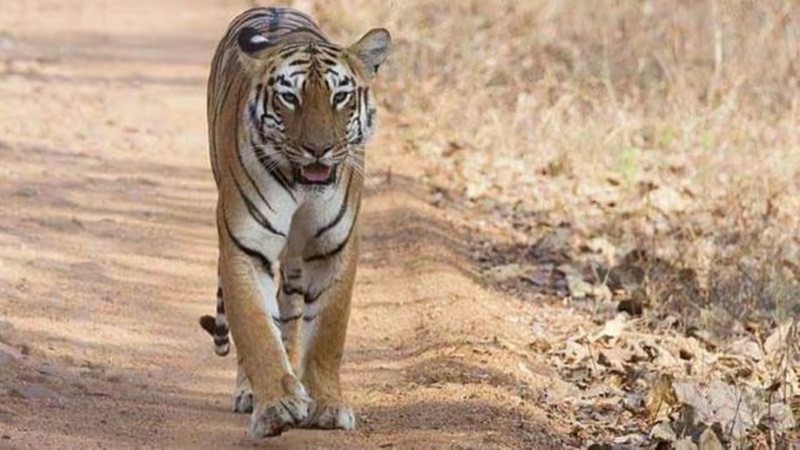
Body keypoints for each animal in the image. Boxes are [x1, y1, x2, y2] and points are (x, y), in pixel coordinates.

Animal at [197, 7, 390, 438]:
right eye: (290, 97)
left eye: (340, 96)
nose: (318, 149)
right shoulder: (245, 247)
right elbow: (255, 328)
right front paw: (276, 406)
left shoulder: (334, 248)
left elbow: (327, 334)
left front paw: (327, 406)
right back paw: (251, 392)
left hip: (296, 260)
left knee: (289, 310)